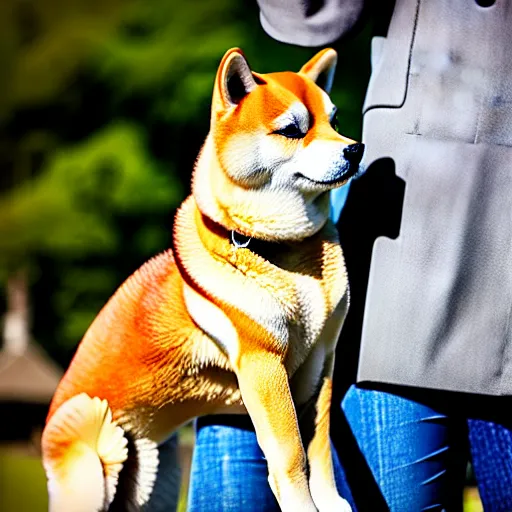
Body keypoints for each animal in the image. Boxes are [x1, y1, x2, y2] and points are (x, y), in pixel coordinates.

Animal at [42, 49, 362, 512]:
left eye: (334, 121)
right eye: (292, 129)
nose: (356, 149)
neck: (282, 251)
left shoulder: (321, 361)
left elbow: (319, 446)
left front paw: (332, 503)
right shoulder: (263, 364)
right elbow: (291, 454)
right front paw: (304, 507)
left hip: (153, 481)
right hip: (90, 451)